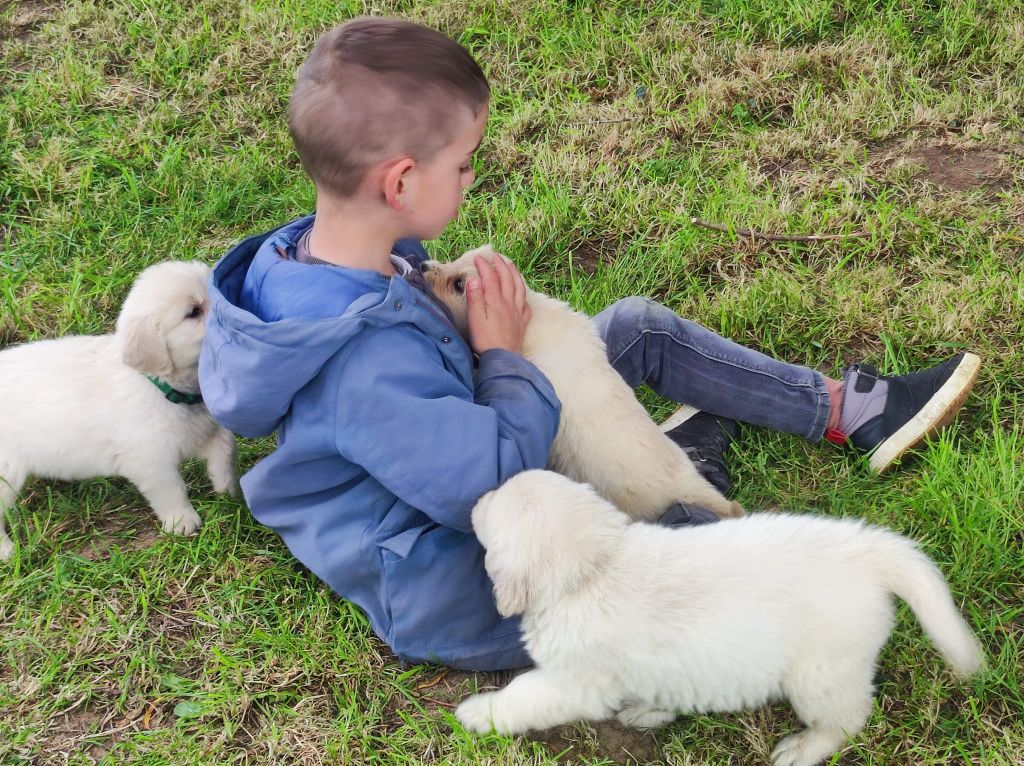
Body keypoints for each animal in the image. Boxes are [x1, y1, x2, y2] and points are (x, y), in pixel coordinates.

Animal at [0, 260, 238, 561]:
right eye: (193, 312)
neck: (162, 386)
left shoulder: (202, 428)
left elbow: (225, 447)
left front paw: (227, 487)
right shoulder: (150, 459)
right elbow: (171, 489)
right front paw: (181, 521)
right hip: (5, 470)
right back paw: (5, 549)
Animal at [458, 473, 983, 766]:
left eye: (493, 507)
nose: (473, 500)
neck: (596, 566)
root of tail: (868, 550)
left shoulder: (572, 683)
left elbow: (521, 696)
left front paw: (479, 713)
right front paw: (647, 713)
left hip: (822, 676)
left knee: (846, 721)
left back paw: (802, 749)